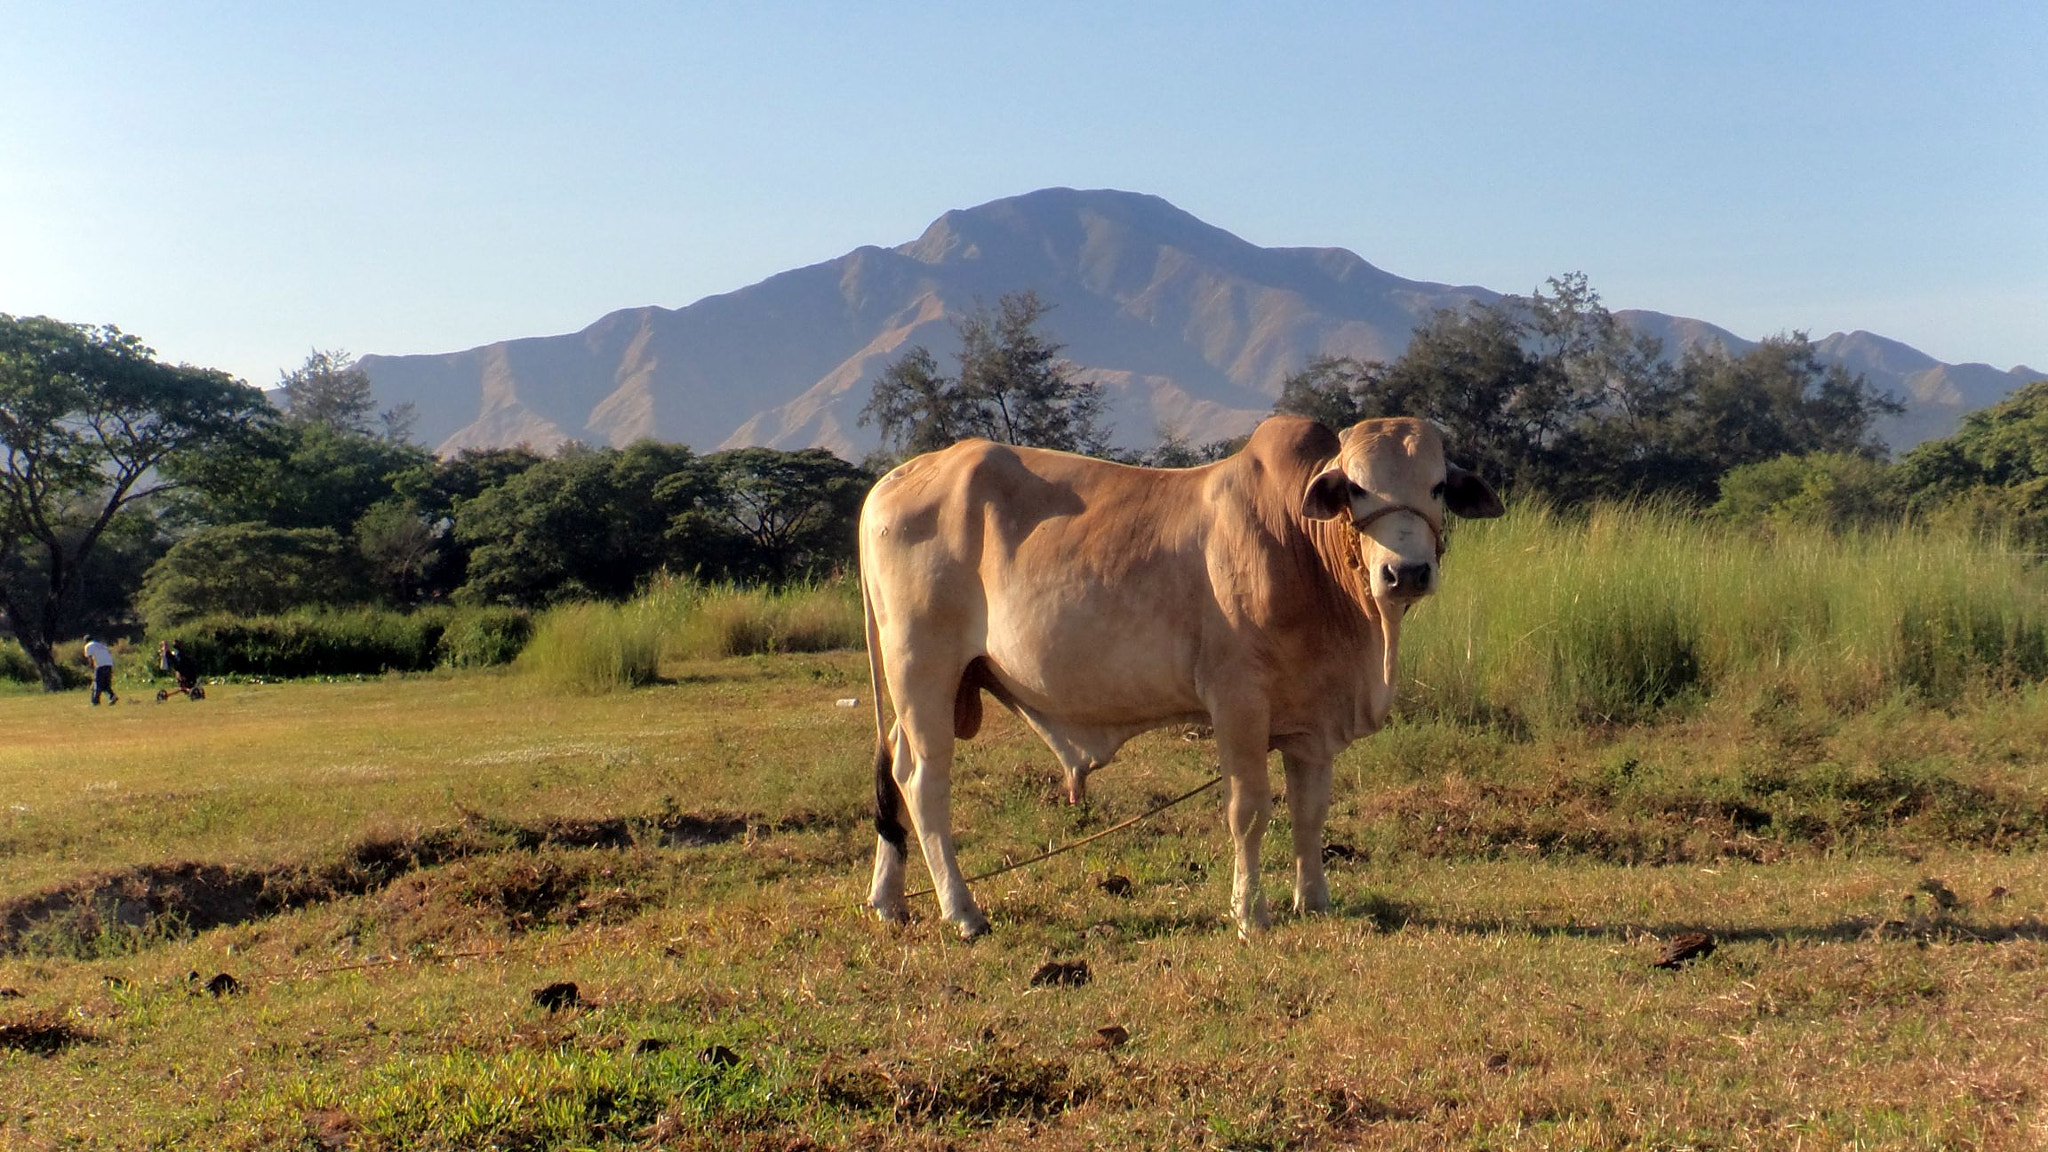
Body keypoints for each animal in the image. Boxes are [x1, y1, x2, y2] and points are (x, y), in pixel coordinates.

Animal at [856, 416, 1499, 938]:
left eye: (1438, 486)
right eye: (1358, 488)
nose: (1405, 572)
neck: (1302, 547)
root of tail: (889, 485)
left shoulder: (1311, 721)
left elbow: (1310, 810)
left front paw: (1313, 901)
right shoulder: (1237, 701)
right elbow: (1250, 809)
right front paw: (1250, 913)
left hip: (926, 689)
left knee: (895, 770)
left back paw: (890, 900)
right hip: (922, 670)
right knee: (924, 783)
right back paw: (962, 912)